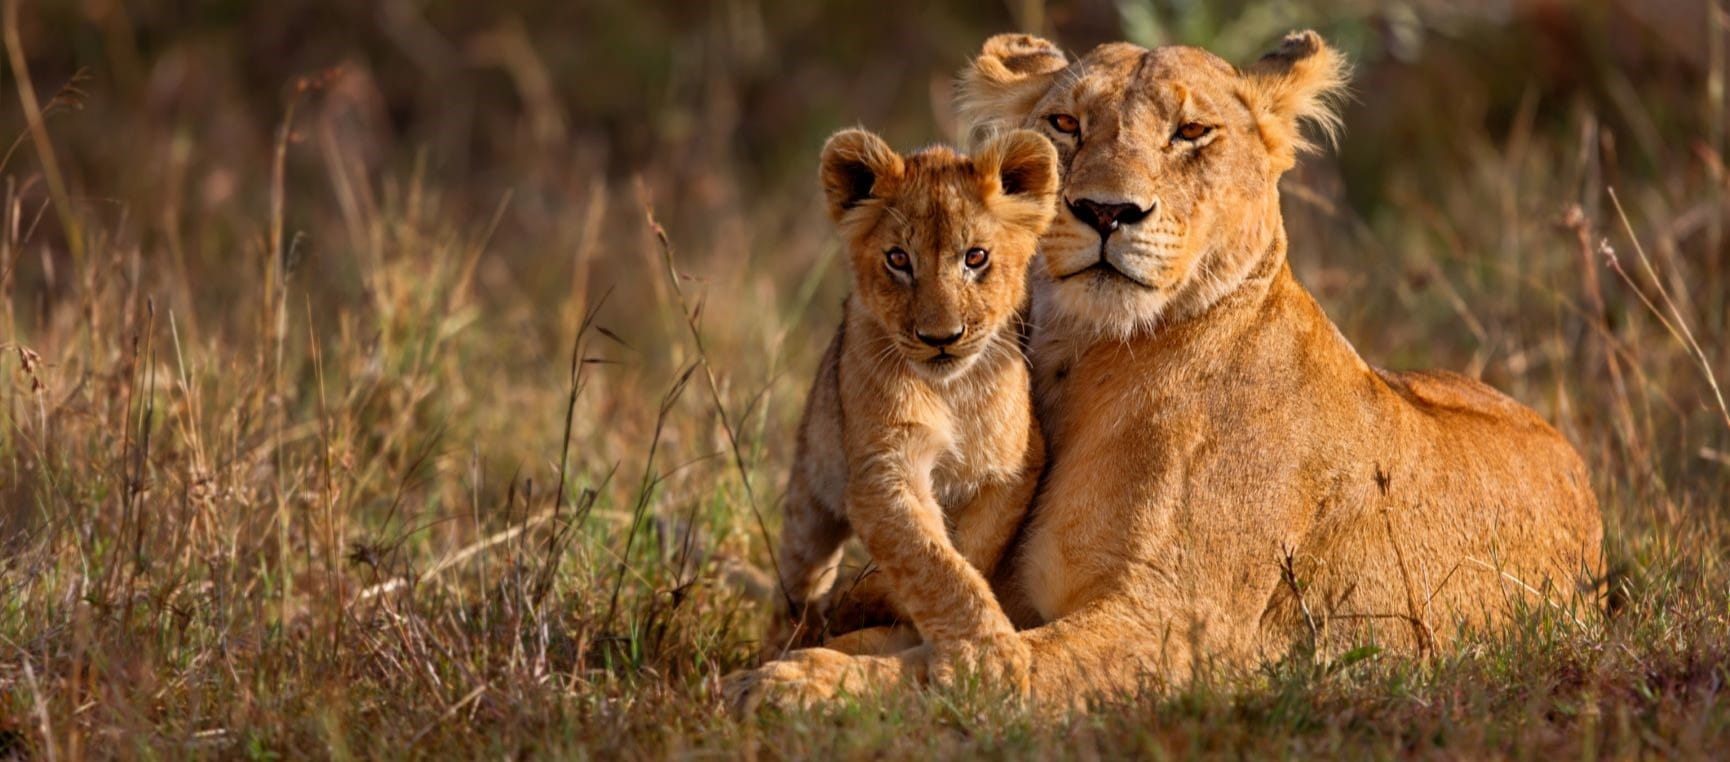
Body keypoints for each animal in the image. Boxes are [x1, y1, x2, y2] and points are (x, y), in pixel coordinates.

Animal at [765, 127, 1058, 662]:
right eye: (898, 259)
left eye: (976, 257)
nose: (941, 337)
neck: (951, 391)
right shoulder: (883, 471)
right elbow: (932, 563)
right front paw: (989, 655)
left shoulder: (1014, 467)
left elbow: (969, 551)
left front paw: (873, 599)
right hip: (808, 496)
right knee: (799, 576)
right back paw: (789, 636)